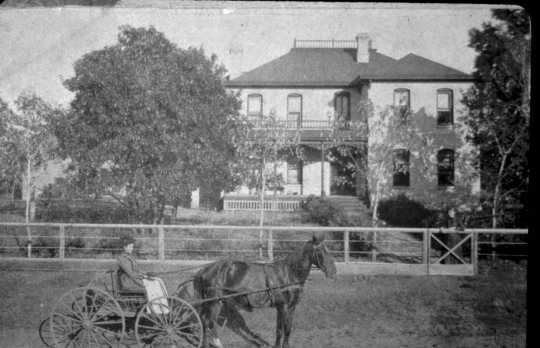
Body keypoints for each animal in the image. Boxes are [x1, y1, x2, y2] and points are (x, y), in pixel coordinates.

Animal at [193, 234, 338, 348]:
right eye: (320, 251)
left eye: (328, 250)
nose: (333, 272)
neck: (288, 273)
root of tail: (204, 270)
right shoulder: (283, 306)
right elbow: (283, 329)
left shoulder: (289, 307)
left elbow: (284, 330)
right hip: (214, 302)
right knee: (206, 323)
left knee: (205, 322)